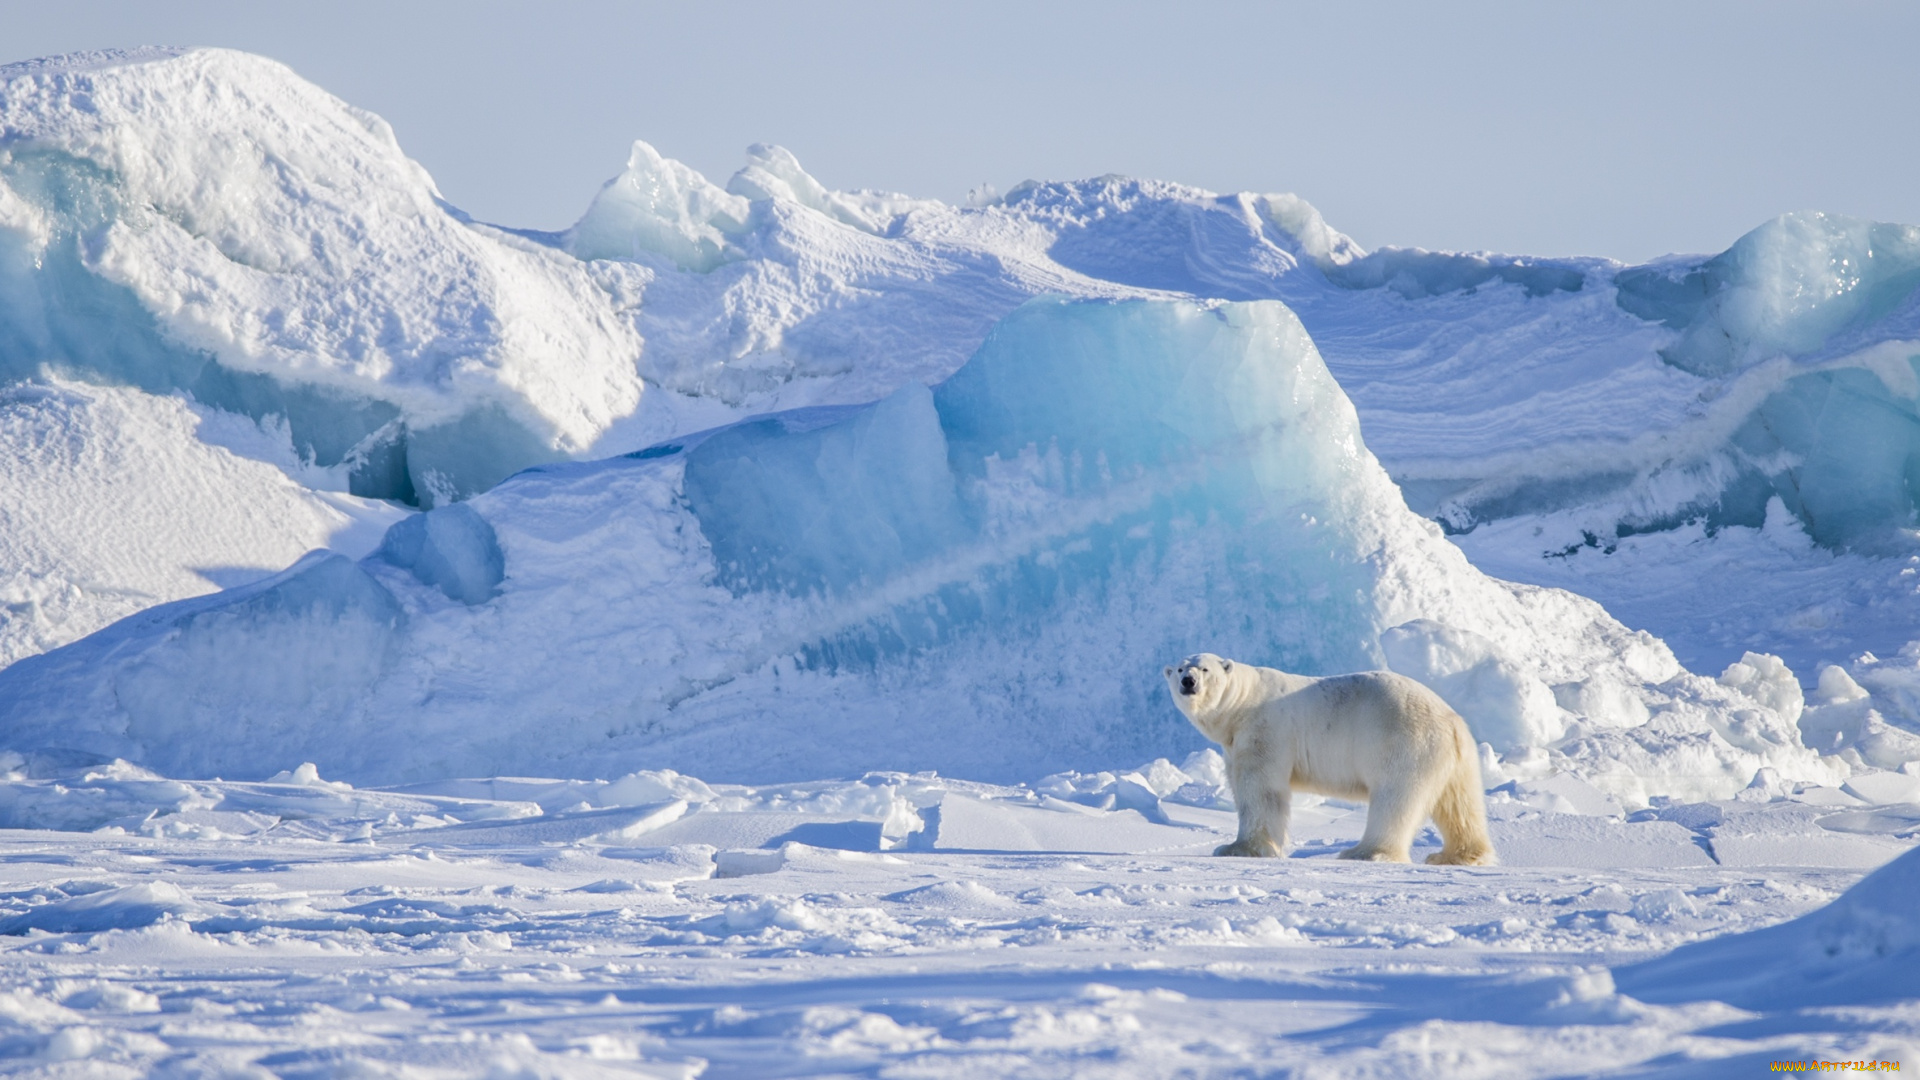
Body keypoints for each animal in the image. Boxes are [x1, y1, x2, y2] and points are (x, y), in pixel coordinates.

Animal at [1159, 653, 1489, 860]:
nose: (1188, 681)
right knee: (1460, 802)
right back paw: (1458, 855)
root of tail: (1452, 720)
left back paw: (1364, 852)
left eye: (1204, 669)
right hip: (1454, 758)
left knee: (1395, 797)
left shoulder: (1265, 729)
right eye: (1180, 669)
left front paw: (1236, 848)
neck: (1241, 704)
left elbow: (1260, 789)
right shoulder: (1234, 741)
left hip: (1402, 742)